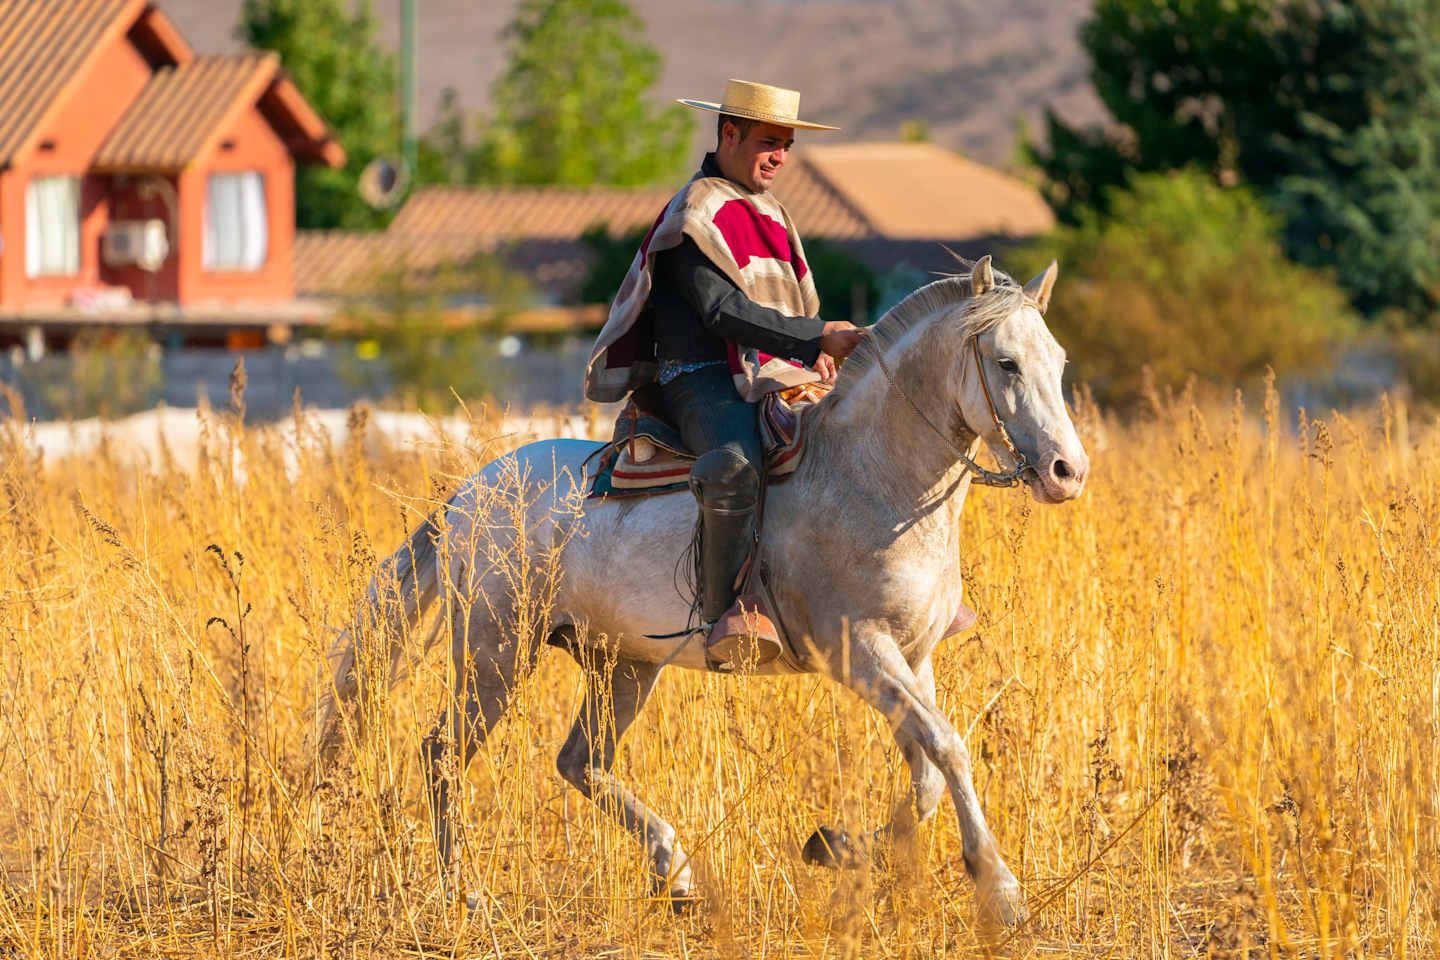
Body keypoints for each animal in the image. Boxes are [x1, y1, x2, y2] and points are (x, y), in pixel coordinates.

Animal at [318, 255, 1089, 927]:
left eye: (1058, 362)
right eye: (1006, 363)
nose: (1066, 471)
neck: (869, 477)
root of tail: (466, 496)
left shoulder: (914, 656)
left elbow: (927, 772)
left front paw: (837, 847)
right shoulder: (860, 651)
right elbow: (949, 747)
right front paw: (1000, 889)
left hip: (623, 665)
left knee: (580, 762)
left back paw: (677, 872)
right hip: (496, 652)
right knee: (443, 757)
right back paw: (466, 893)